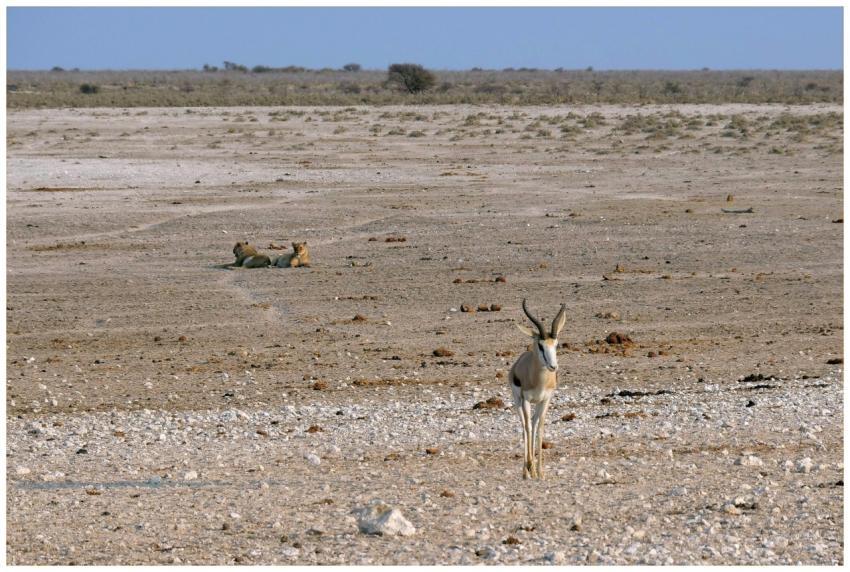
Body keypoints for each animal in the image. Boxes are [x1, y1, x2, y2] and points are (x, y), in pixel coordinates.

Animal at [509, 299, 566, 479]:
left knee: (533, 424)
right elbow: (527, 428)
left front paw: (540, 472)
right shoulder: (526, 399)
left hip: (537, 403)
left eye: (556, 344)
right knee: (524, 425)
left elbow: (540, 428)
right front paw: (529, 470)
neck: (539, 380)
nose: (553, 366)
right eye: (540, 345)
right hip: (518, 401)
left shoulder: (546, 400)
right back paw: (526, 469)